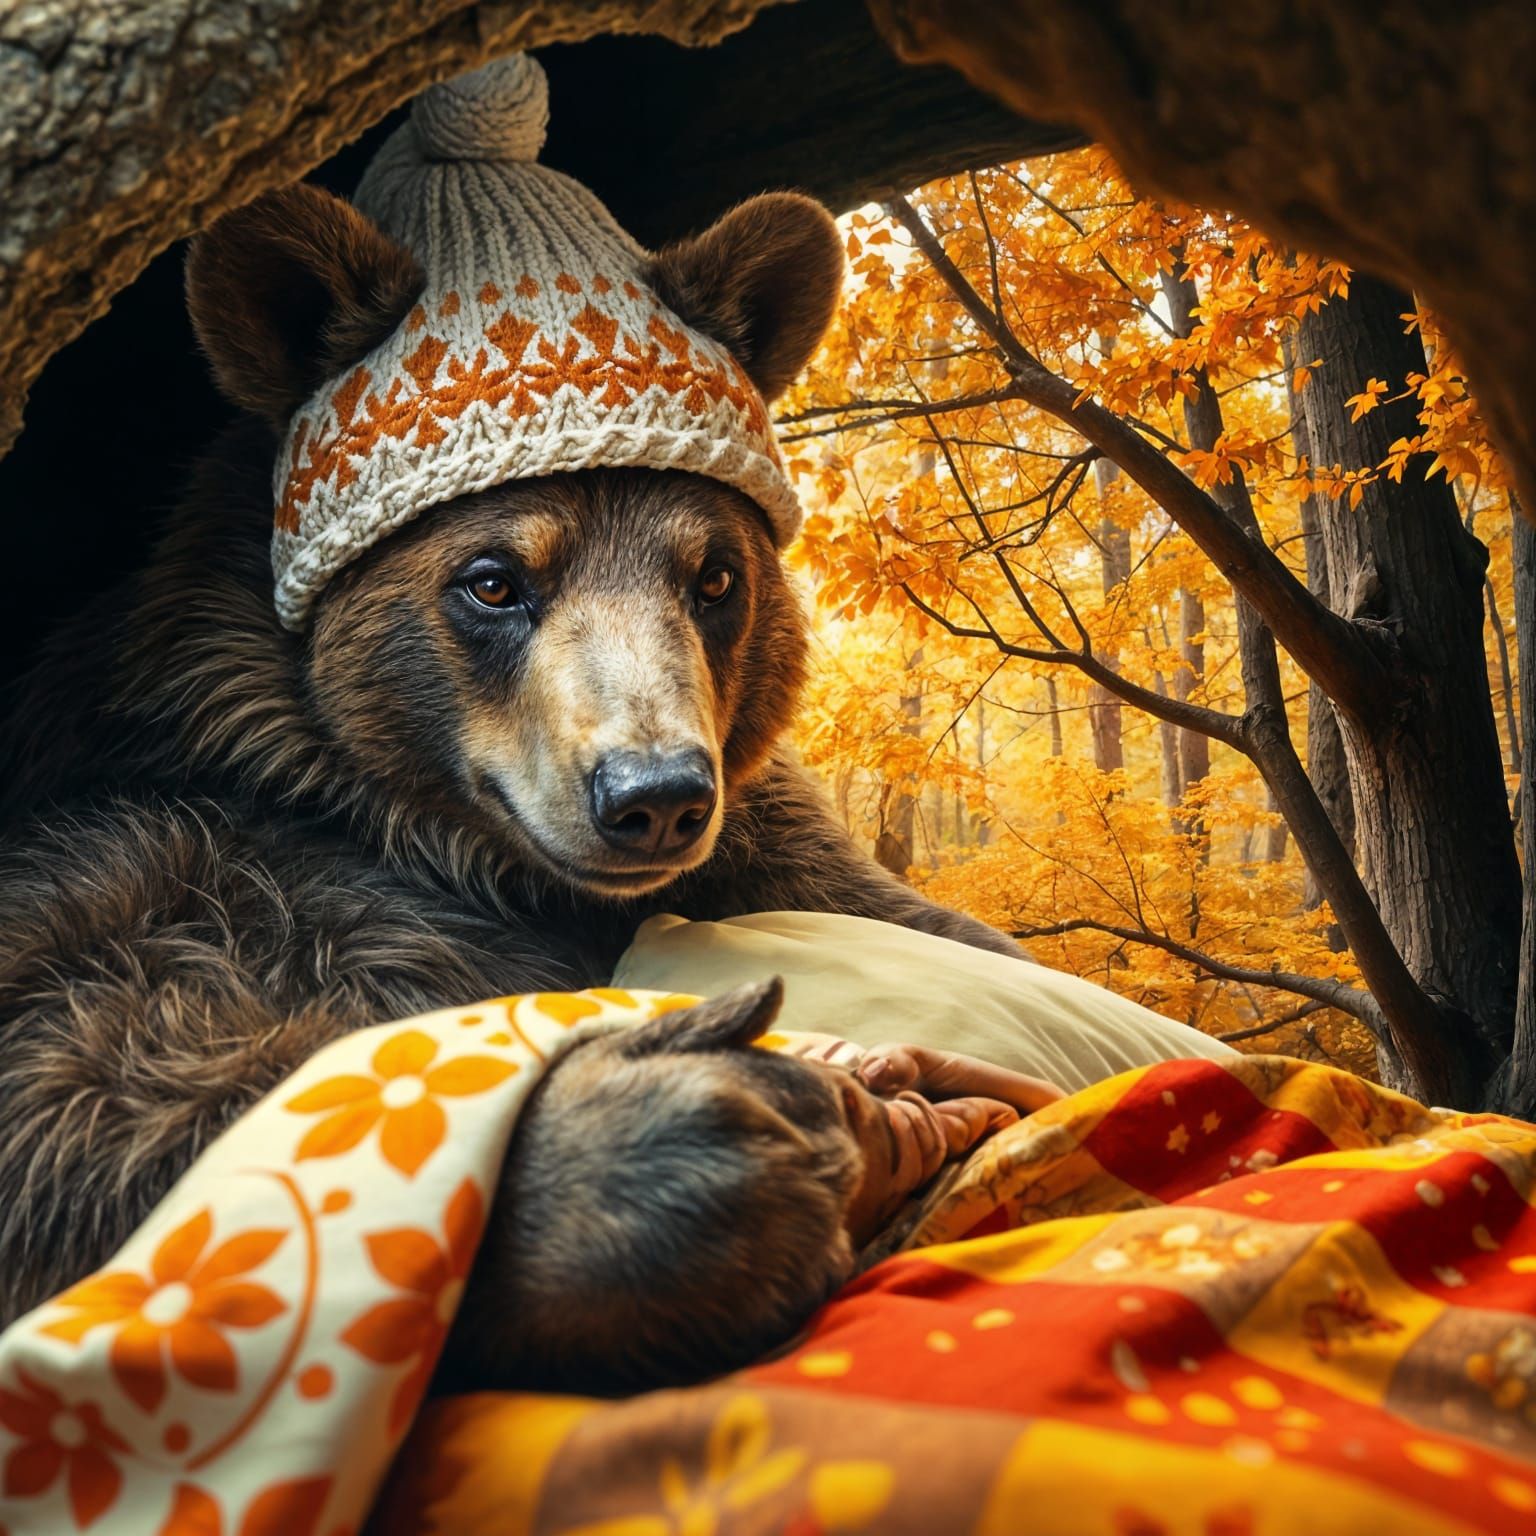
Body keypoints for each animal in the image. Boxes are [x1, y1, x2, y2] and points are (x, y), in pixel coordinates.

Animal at [0, 66, 1019, 1329]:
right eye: (493, 578)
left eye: (715, 576)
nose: (654, 796)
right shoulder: (182, 849)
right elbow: (88, 1057)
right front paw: (671, 1147)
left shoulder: (767, 839)